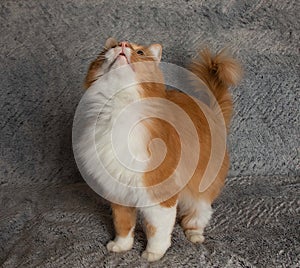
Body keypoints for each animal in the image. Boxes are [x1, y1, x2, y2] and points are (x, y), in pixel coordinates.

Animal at [77, 37, 241, 262]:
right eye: (113, 46)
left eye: (139, 52)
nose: (123, 44)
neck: (119, 109)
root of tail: (211, 111)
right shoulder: (118, 192)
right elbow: (123, 225)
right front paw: (122, 246)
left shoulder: (158, 193)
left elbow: (157, 229)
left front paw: (154, 253)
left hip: (199, 186)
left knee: (201, 211)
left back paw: (194, 234)